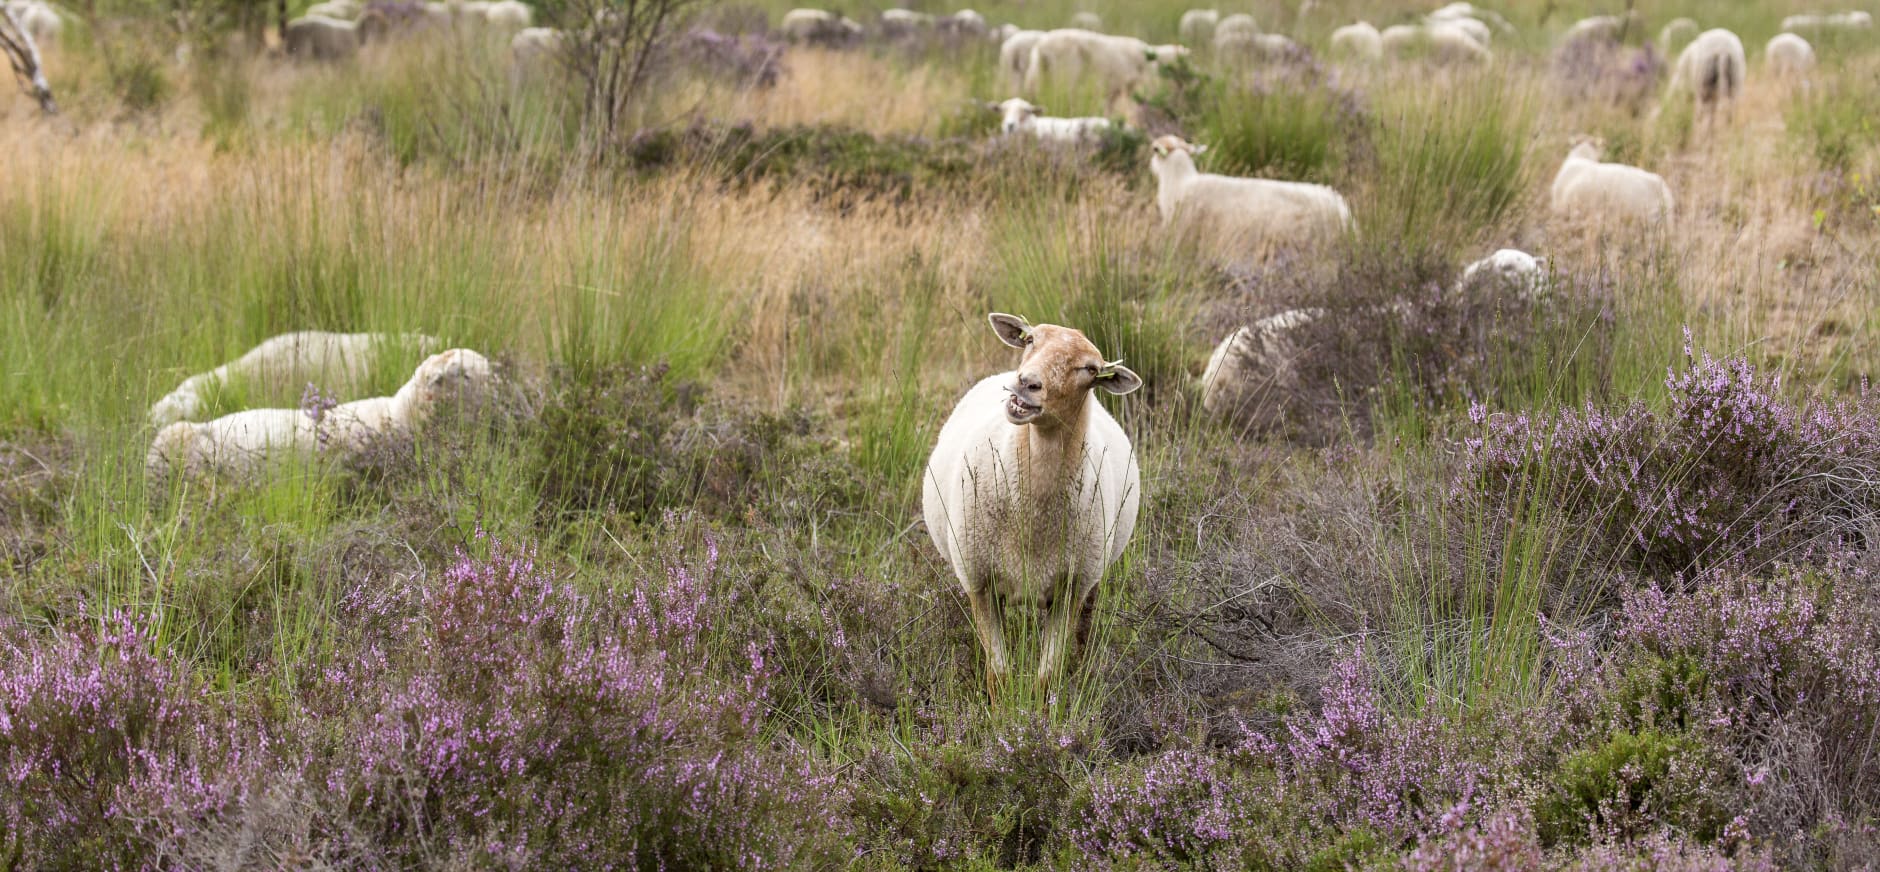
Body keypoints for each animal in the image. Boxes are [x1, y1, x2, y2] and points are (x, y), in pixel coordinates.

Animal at [924, 313, 1143, 695]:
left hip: (1090, 576)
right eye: (1029, 340)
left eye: (1090, 369)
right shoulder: (979, 583)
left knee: (1085, 628)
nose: (1026, 383)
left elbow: (1047, 677)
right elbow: (998, 675)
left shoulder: (1071, 588)